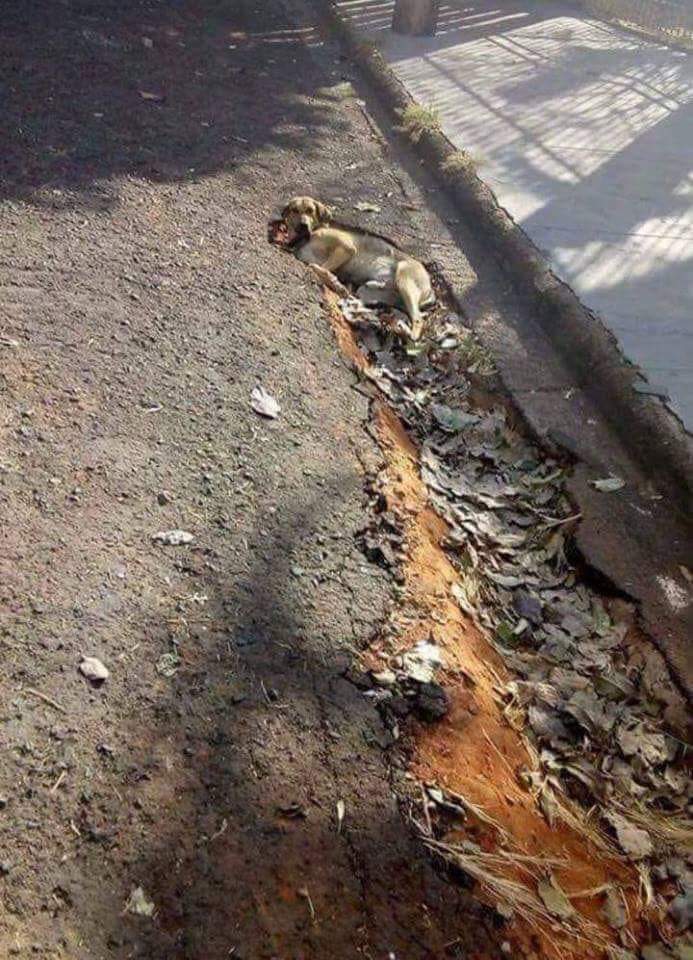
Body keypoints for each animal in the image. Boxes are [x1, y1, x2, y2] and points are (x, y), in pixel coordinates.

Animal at [280, 196, 434, 340]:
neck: (307, 237)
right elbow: (315, 266)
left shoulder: (346, 248)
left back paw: (408, 333)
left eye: (310, 210)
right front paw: (335, 283)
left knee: (418, 319)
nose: (303, 225)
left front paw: (335, 283)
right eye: (295, 210)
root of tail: (430, 287)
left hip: (404, 280)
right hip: (369, 291)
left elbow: (320, 267)